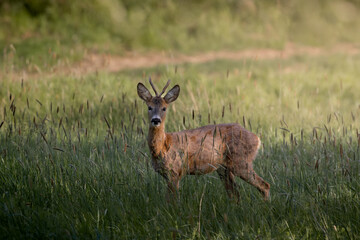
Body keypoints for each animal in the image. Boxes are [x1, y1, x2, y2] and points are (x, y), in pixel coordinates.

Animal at [138, 79, 270, 201]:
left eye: (164, 108)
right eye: (149, 107)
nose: (156, 120)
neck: (163, 147)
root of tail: (257, 139)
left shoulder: (175, 171)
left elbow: (173, 201)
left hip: (241, 161)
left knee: (264, 185)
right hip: (224, 168)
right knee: (235, 194)